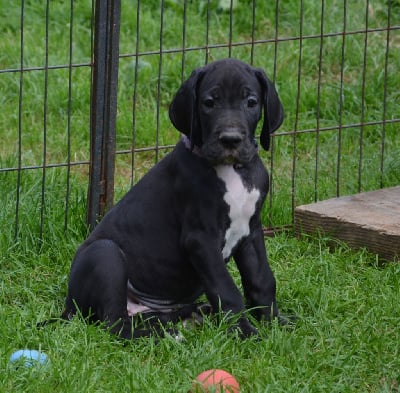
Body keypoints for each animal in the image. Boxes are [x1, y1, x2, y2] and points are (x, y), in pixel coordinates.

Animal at [61, 57, 284, 336]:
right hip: (105, 254)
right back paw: (160, 336)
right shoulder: (200, 240)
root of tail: (69, 306)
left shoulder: (251, 232)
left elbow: (262, 280)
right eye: (209, 103)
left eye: (251, 102)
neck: (233, 170)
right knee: (116, 325)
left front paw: (276, 321)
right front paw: (244, 331)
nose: (230, 139)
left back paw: (189, 317)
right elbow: (227, 290)